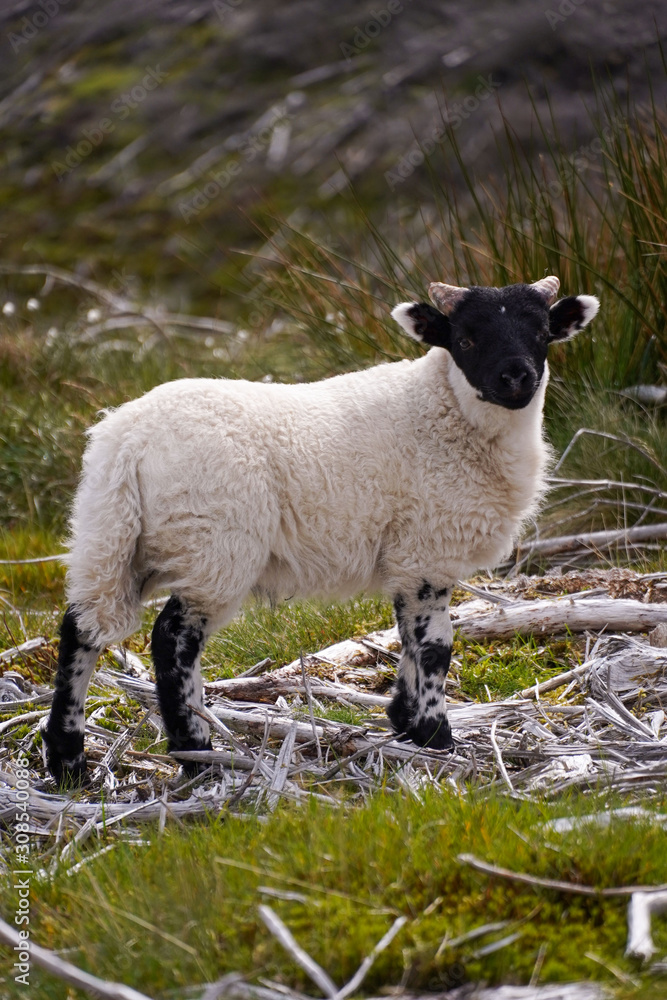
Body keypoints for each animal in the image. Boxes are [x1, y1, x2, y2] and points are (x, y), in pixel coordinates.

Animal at [42, 275, 599, 785]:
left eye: (541, 332)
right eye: (465, 339)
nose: (517, 377)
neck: (449, 409)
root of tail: (126, 441)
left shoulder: (408, 556)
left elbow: (408, 636)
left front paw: (405, 722)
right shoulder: (426, 547)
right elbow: (435, 645)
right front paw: (436, 735)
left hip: (113, 534)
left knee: (81, 628)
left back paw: (68, 760)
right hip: (212, 544)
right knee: (172, 639)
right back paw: (195, 753)